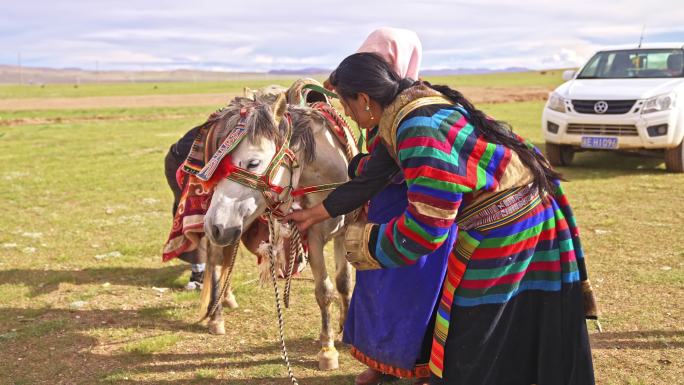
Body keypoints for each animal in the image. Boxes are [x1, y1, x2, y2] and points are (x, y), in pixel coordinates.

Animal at [198, 91, 356, 368]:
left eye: (253, 162)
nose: (214, 226)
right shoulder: (314, 236)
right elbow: (324, 291)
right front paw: (327, 350)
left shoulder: (343, 231)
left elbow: (344, 283)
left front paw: (345, 331)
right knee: (217, 262)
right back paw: (216, 317)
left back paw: (227, 299)